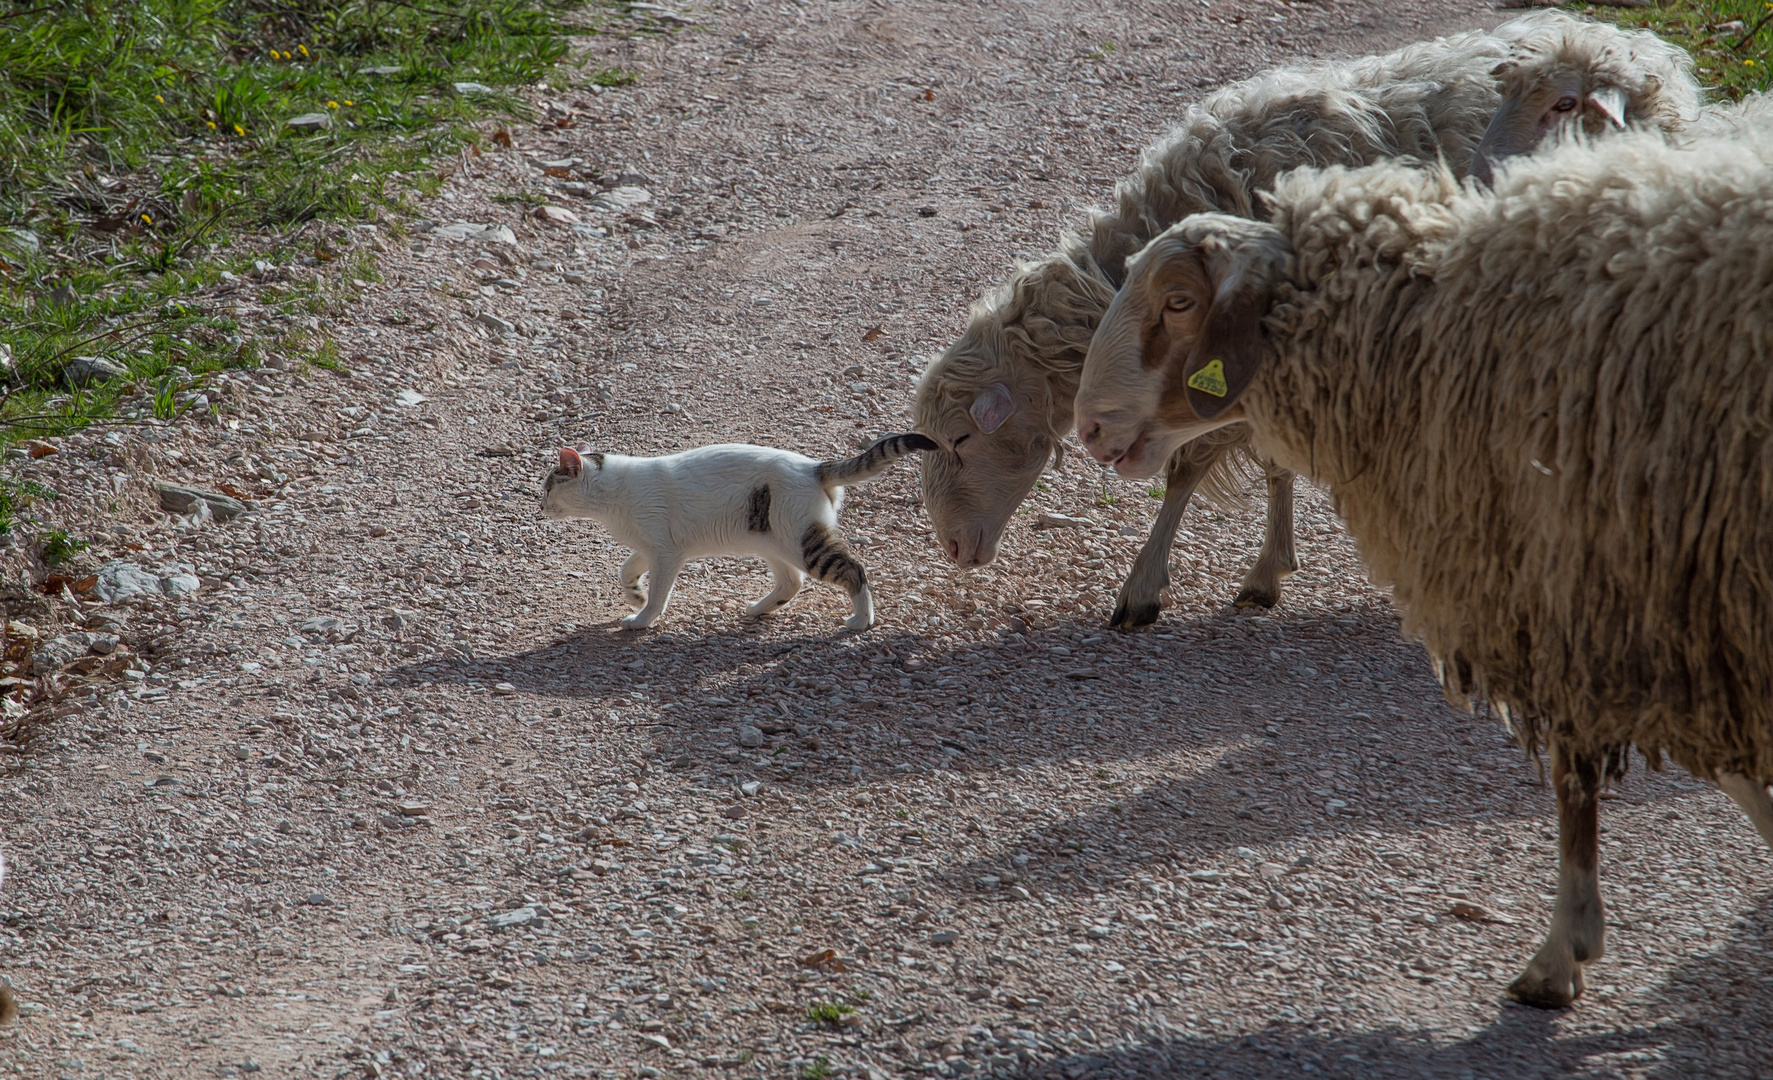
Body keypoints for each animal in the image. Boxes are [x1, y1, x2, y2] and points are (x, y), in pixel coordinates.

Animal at [538, 430, 936, 627]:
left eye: (546, 487)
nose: (538, 506)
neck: (614, 492)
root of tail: (813, 467)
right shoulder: (649, 546)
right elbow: (627, 570)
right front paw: (635, 595)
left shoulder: (667, 553)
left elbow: (659, 594)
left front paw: (643, 617)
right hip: (772, 543)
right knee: (791, 582)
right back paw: (757, 609)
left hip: (801, 544)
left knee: (853, 570)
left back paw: (861, 620)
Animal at [914, 10, 1631, 631]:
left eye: (962, 439)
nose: (950, 550)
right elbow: (1274, 464)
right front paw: (1268, 571)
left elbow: (1188, 469)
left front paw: (1144, 587)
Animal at [1063, 128, 1773, 1007]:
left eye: (1178, 302)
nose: (1087, 428)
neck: (1436, 327)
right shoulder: (1673, 608)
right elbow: (1729, 769)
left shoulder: (1575, 583)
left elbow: (1575, 779)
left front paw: (1558, 955)